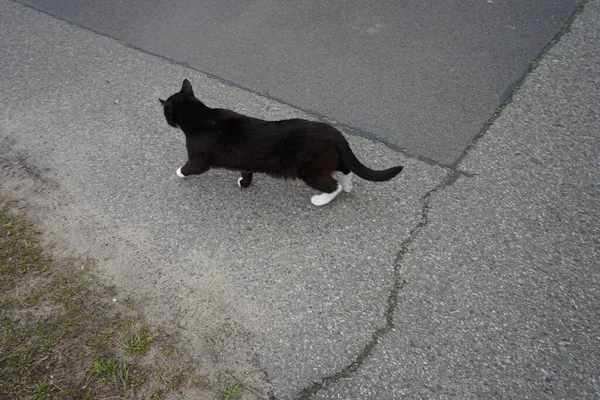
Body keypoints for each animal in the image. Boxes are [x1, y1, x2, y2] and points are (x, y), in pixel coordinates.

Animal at [159, 79, 404, 206]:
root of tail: (334, 132)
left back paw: (321, 199)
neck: (204, 117)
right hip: (328, 159)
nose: (167, 121)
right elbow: (247, 172)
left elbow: (190, 167)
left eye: (166, 114)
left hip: (311, 170)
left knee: (332, 185)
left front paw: (178, 172)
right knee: (346, 170)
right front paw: (244, 183)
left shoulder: (199, 158)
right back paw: (349, 185)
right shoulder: (245, 161)